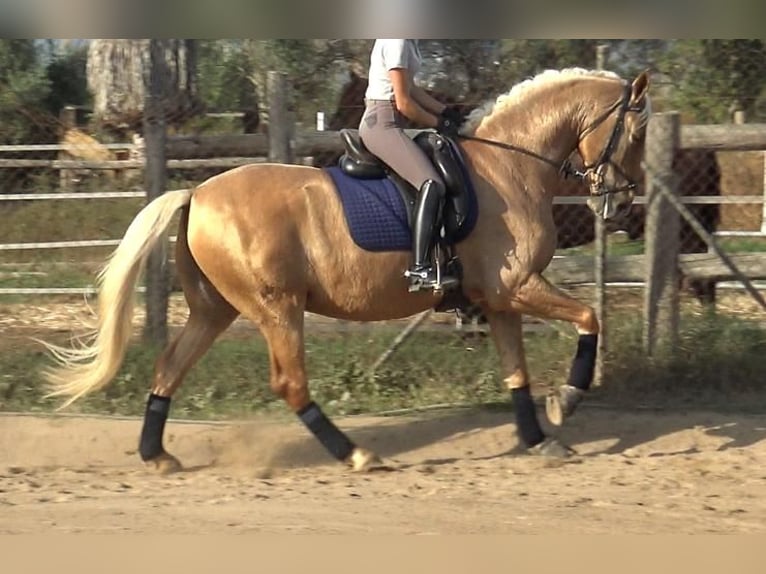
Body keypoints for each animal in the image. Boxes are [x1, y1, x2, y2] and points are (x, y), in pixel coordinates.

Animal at [45, 68, 652, 472]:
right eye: (638, 133)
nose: (622, 204)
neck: (509, 165)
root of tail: (196, 193)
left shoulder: (500, 298)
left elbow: (516, 372)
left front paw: (540, 437)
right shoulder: (520, 286)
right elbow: (590, 317)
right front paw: (567, 400)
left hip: (214, 309)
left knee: (170, 366)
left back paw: (157, 456)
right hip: (277, 308)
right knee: (289, 383)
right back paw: (356, 454)